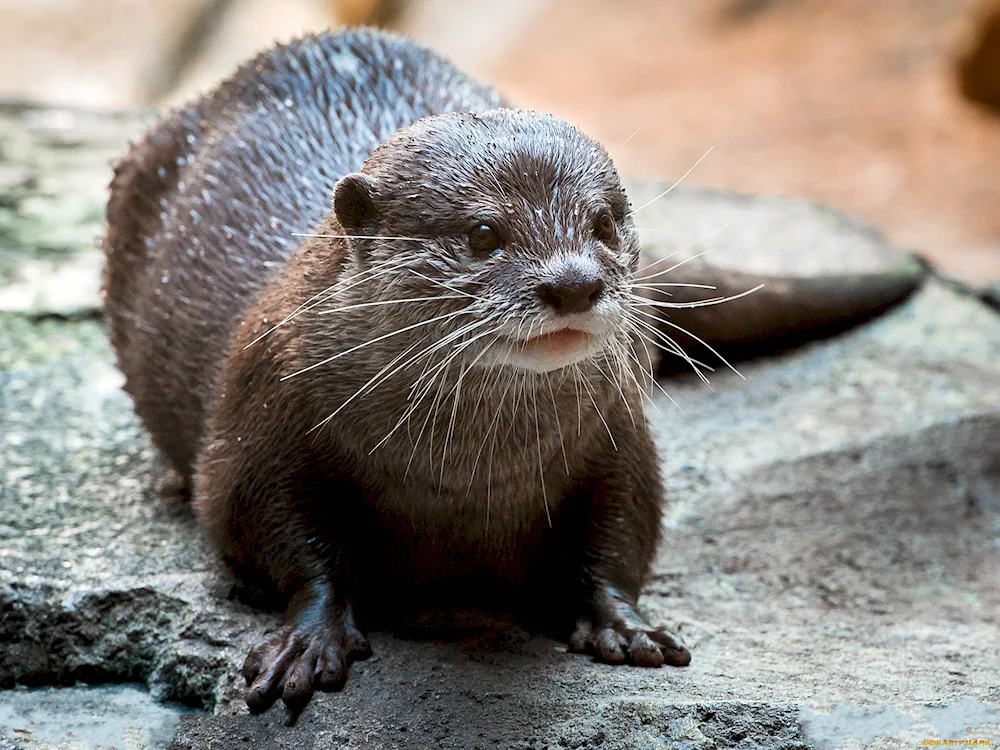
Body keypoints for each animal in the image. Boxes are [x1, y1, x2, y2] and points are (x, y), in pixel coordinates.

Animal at [105, 30, 692, 724]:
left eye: (603, 224)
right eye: (483, 233)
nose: (574, 284)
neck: (462, 475)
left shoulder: (620, 432)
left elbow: (621, 532)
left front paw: (623, 624)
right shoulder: (263, 414)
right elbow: (270, 529)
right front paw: (309, 640)